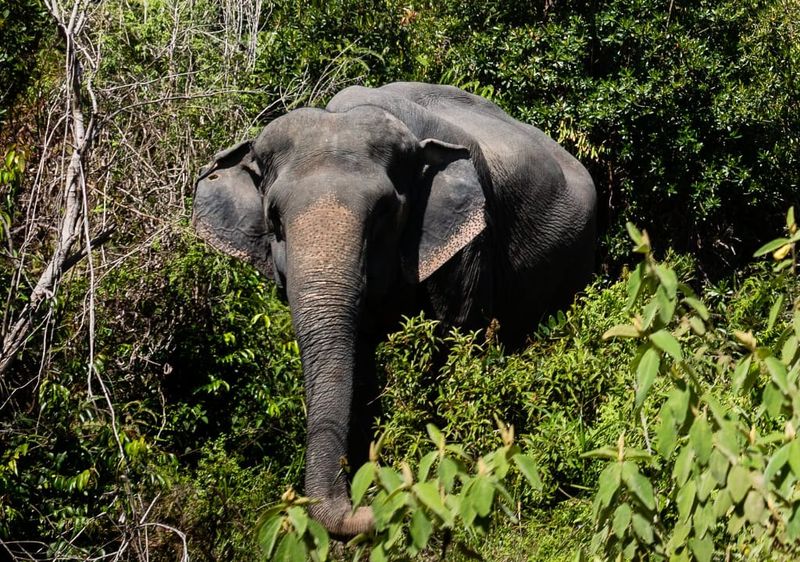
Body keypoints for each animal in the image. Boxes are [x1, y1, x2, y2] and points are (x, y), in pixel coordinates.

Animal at [192, 82, 596, 537]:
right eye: (274, 218)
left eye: (384, 212)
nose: (367, 506)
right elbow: (360, 361)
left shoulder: (470, 243)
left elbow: (455, 336)